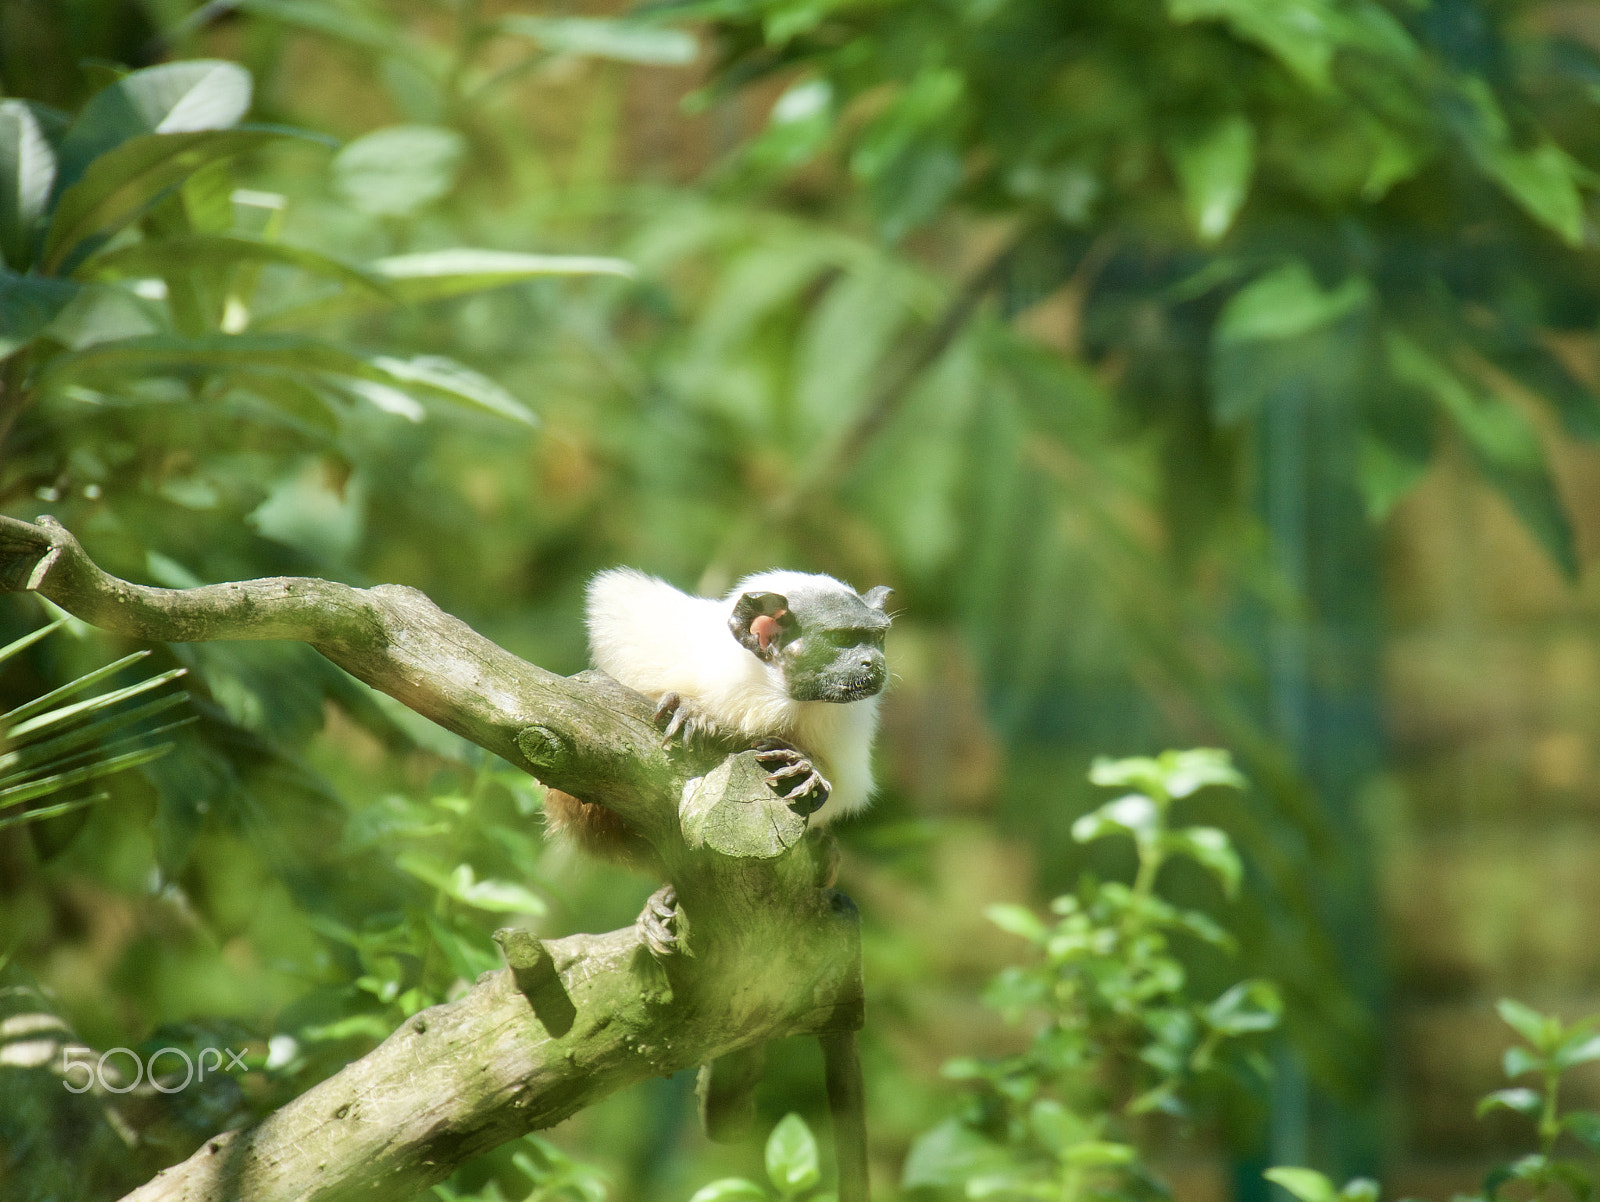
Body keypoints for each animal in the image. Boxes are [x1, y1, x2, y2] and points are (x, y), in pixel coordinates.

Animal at [541, 567, 893, 943]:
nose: (874, 663)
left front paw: (805, 769)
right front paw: (692, 713)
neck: (764, 694)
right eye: (842, 639)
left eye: (877, 638)